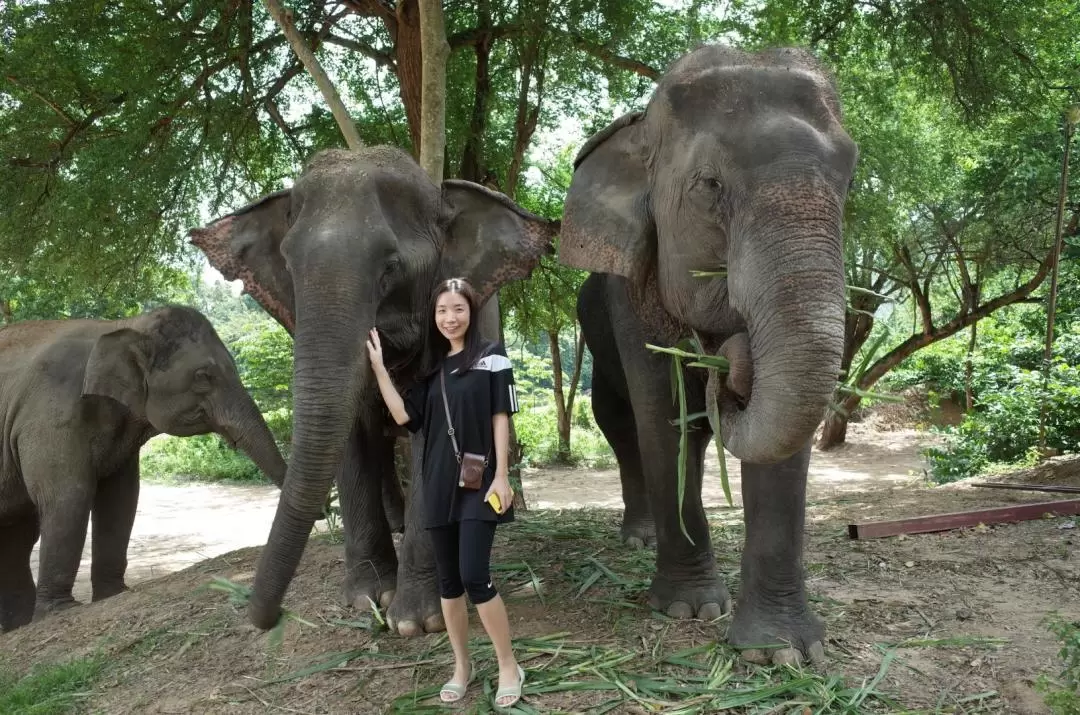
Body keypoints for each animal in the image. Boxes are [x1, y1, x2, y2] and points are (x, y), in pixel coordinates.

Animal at [0, 304, 287, 630]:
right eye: (203, 376)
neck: (125, 325)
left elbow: (121, 498)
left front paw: (114, 593)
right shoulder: (51, 415)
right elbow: (68, 496)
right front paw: (61, 611)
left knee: (17, 538)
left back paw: (19, 625)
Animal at [187, 144, 557, 635]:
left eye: (391, 267)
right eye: (288, 265)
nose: (267, 618)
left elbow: (427, 440)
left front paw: (416, 621)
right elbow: (350, 435)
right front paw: (367, 600)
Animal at [561, 43, 855, 665]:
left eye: (849, 179)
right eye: (710, 184)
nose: (730, 364)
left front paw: (784, 653)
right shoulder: (631, 297)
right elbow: (664, 417)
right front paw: (689, 610)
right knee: (623, 424)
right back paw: (641, 538)